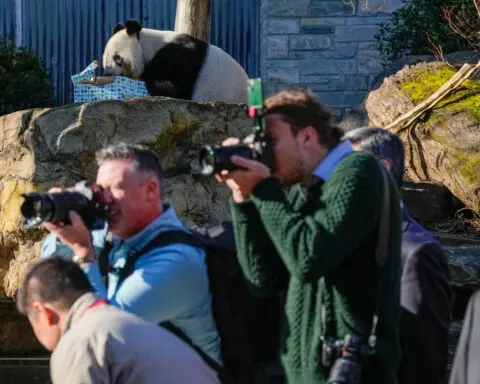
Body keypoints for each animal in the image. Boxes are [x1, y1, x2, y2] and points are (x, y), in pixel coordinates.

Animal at [103, 19, 249, 103]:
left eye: (117, 58)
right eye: (105, 60)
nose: (107, 74)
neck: (148, 46)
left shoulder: (176, 58)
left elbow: (171, 88)